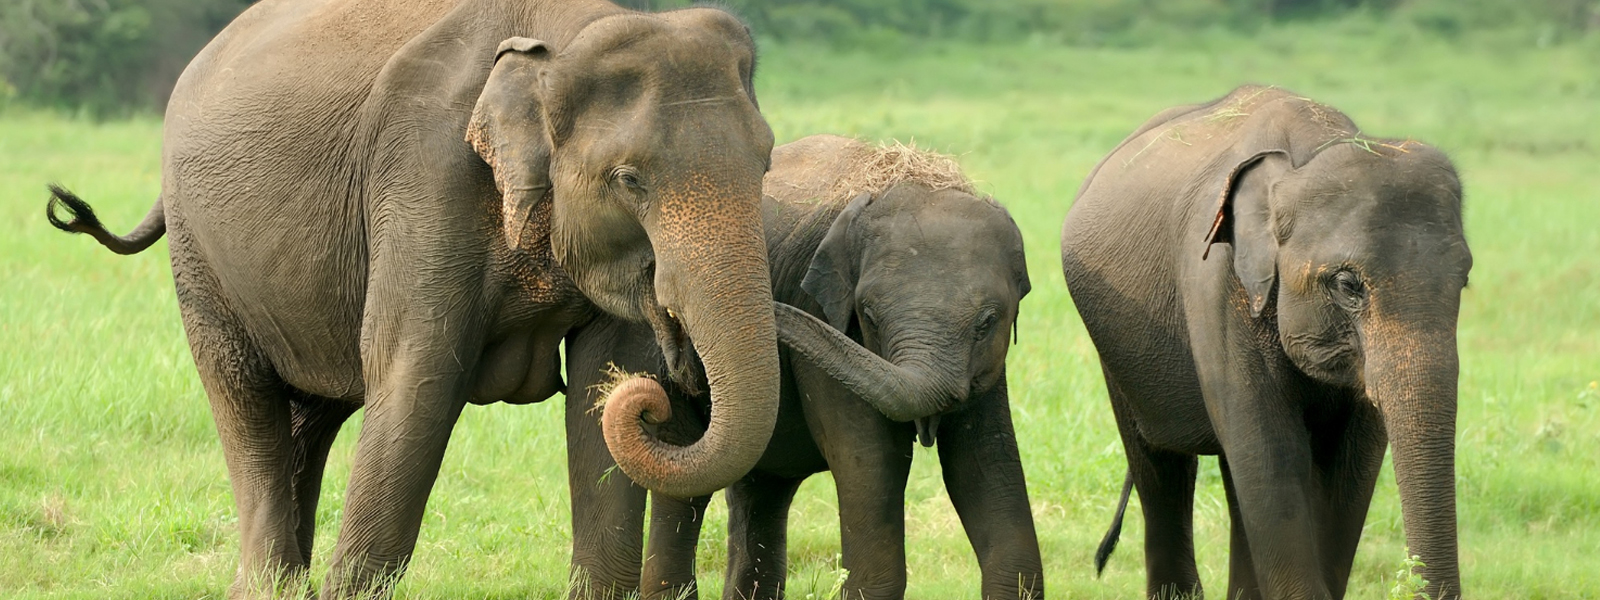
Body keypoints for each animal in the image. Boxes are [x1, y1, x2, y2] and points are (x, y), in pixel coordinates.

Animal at [44, 1, 782, 597]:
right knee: (245, 400)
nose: (673, 388)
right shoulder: (424, 175)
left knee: (311, 417)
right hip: (201, 256)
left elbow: (602, 385)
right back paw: (269, 585)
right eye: (629, 179)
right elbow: (417, 380)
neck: (563, 36)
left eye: (767, 162)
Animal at [564, 135, 1043, 600]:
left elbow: (982, 467)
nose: (673, 313)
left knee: (761, 490)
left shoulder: (989, 369)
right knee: (688, 480)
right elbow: (871, 463)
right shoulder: (827, 329)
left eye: (988, 321)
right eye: (869, 315)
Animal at [1060, 86, 1469, 600]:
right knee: (1160, 463)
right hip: (1118, 354)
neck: (1305, 156)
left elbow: (1349, 469)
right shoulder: (1217, 286)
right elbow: (1271, 458)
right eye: (1348, 285)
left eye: (1464, 280)